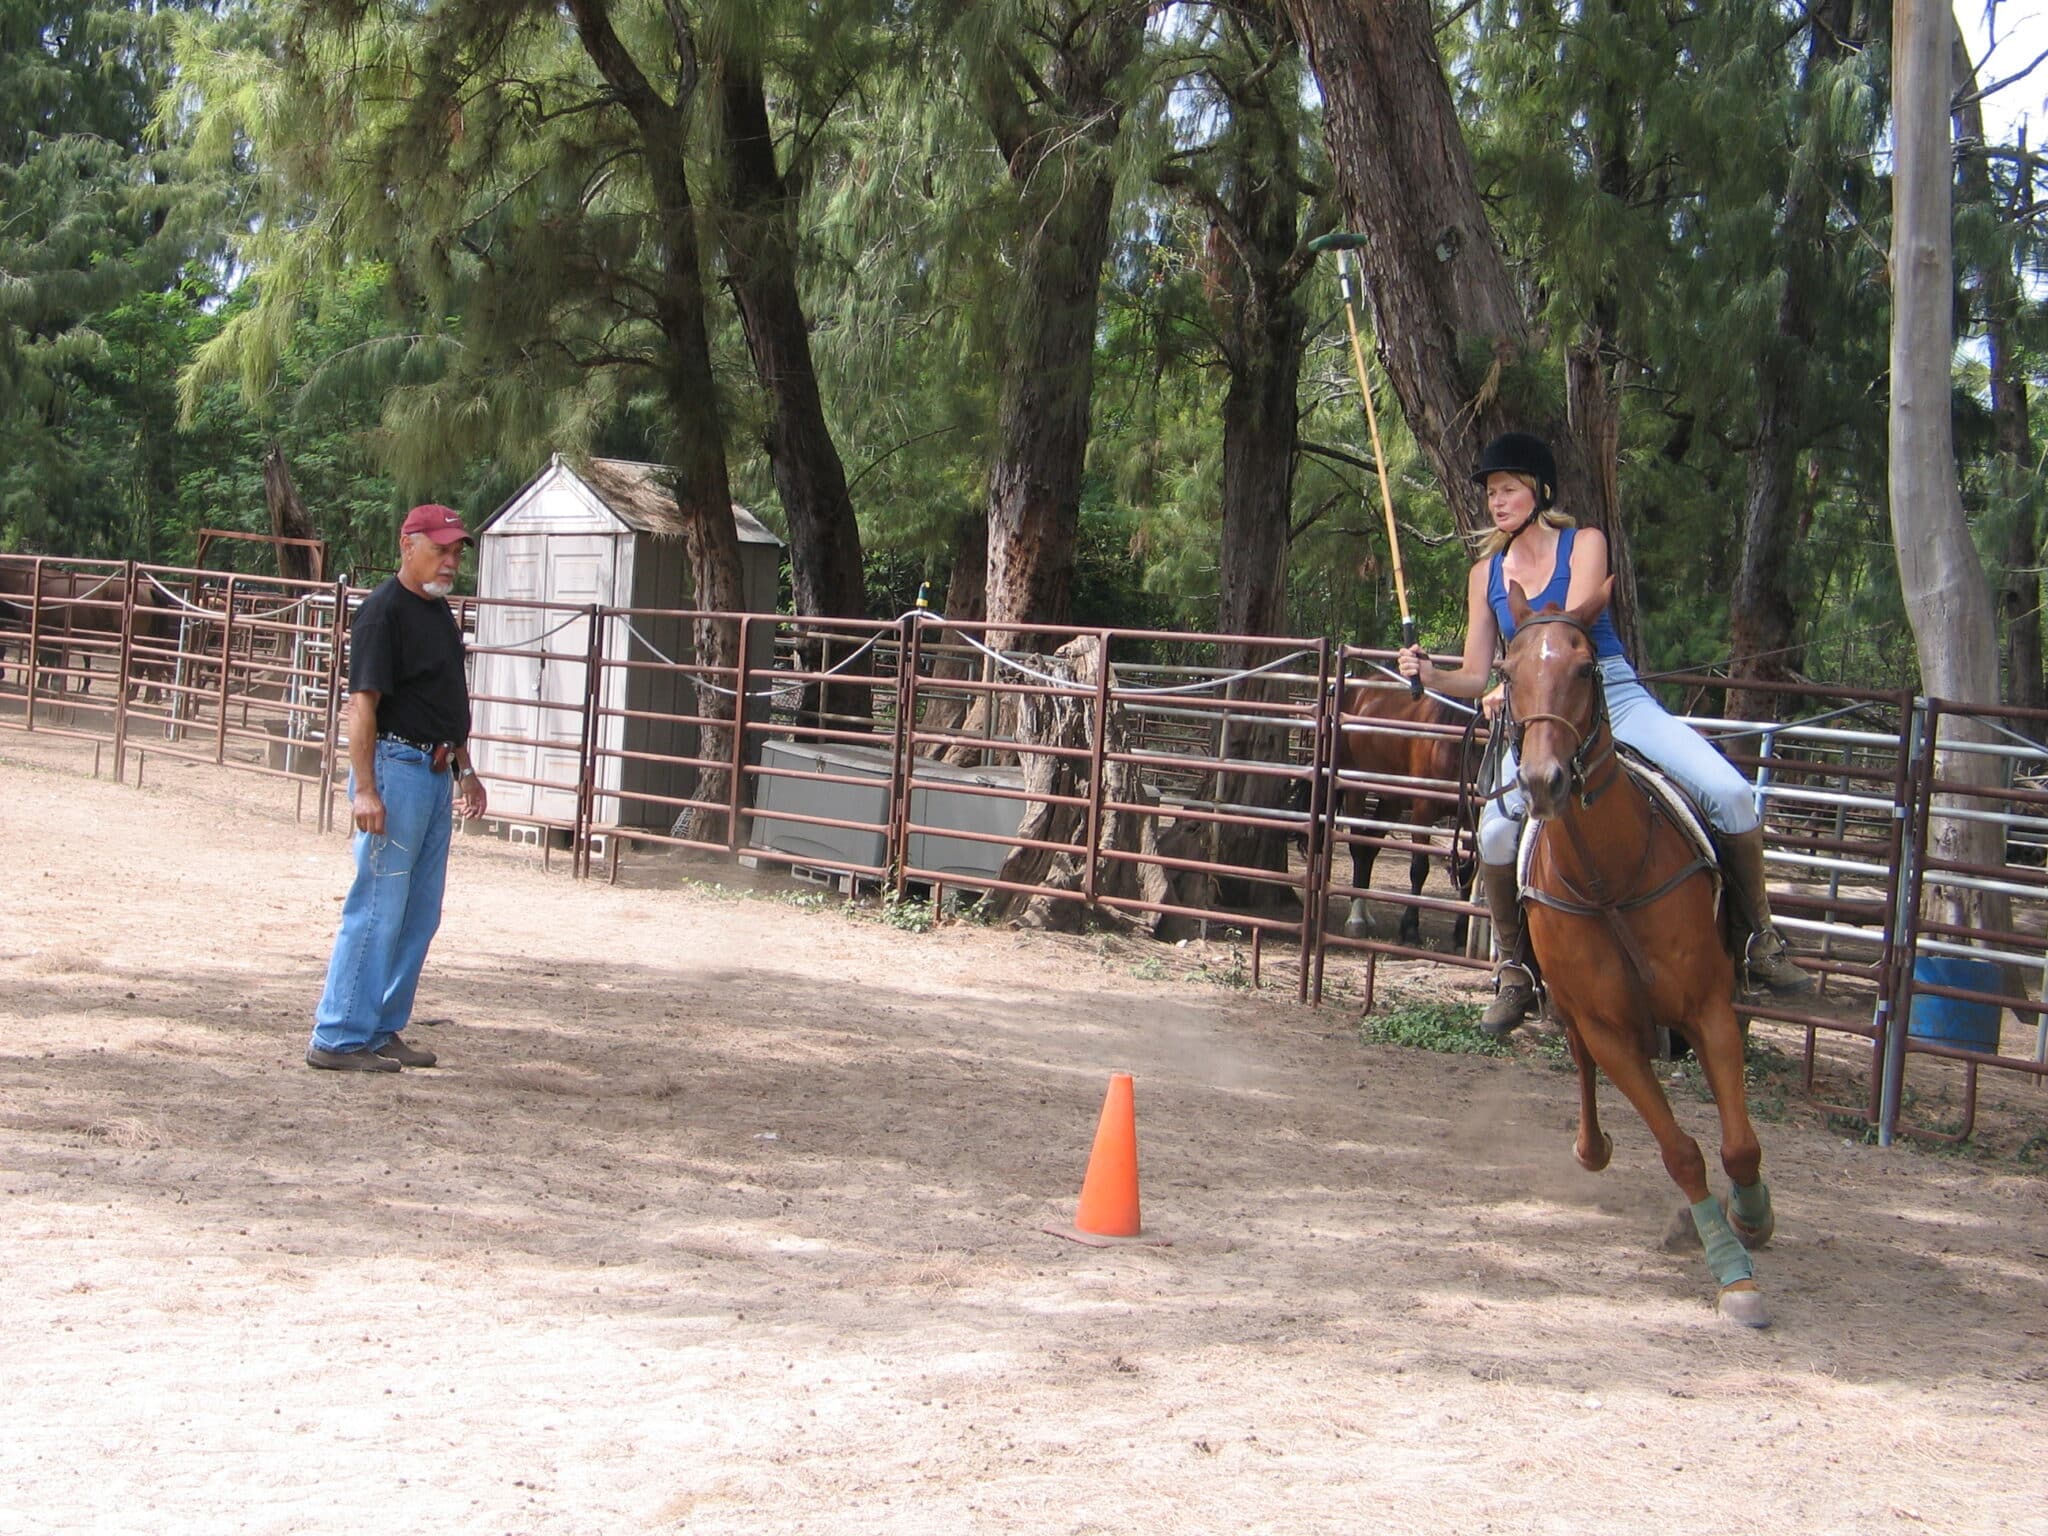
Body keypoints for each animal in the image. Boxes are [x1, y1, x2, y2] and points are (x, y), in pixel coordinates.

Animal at [1327, 679, 1483, 950]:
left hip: (1393, 801)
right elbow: (1419, 868)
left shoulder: (1469, 817)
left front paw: (1461, 935)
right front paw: (1410, 929)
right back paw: (1356, 919)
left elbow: (1467, 872)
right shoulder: (1423, 811)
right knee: (1358, 847)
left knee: (1370, 848)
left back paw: (1366, 914)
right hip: (1355, 788)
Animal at [1500, 577, 1774, 1328]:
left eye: (1584, 668)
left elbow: (1739, 1143)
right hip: (1573, 1012)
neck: (1608, 882)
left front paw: (1751, 1220)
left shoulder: (1710, 1007)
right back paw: (1591, 1148)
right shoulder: (1610, 1029)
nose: (1543, 782)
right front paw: (1731, 1271)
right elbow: (1681, 1152)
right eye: (1507, 671)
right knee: (1581, 1066)